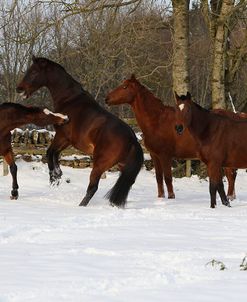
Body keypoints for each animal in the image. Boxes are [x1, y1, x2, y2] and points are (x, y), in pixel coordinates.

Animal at [16, 56, 144, 208]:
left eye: (34, 72)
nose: (19, 89)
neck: (70, 100)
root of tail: (133, 140)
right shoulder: (66, 141)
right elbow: (55, 154)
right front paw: (58, 174)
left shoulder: (62, 137)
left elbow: (49, 152)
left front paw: (54, 177)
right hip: (122, 167)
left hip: (99, 165)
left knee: (93, 188)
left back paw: (81, 206)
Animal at [106, 74, 239, 201]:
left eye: (124, 87)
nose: (107, 98)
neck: (157, 120)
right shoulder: (155, 155)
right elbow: (159, 178)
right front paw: (161, 197)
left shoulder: (165, 155)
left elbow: (168, 177)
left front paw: (171, 197)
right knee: (231, 176)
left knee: (231, 176)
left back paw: (229, 197)